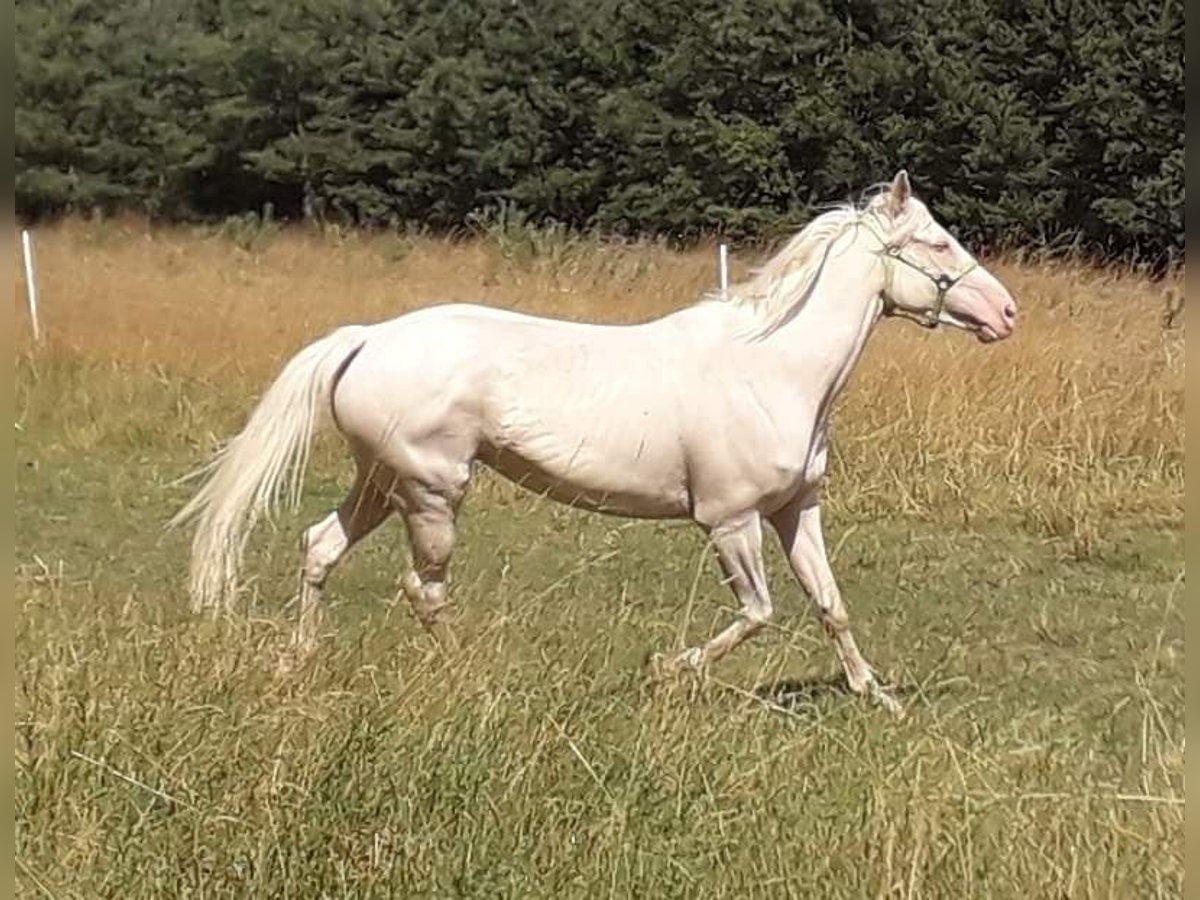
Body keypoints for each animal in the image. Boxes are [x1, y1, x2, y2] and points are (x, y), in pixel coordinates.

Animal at [171, 172, 1012, 715]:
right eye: (938, 244)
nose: (1006, 312)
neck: (774, 365)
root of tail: (368, 336)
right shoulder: (730, 521)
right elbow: (760, 613)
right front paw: (664, 672)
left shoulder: (793, 510)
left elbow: (829, 605)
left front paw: (878, 697)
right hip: (432, 493)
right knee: (423, 589)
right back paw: (478, 679)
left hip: (380, 483)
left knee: (320, 548)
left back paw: (299, 660)